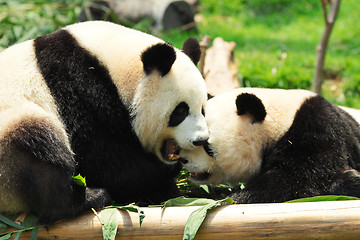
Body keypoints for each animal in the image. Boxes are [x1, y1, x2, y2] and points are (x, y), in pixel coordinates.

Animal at [0, 20, 208, 223]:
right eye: (180, 111)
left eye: (202, 109)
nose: (201, 140)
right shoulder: (79, 88)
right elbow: (101, 156)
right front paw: (166, 171)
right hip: (11, 140)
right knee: (40, 148)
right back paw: (90, 198)